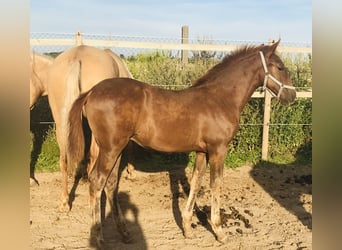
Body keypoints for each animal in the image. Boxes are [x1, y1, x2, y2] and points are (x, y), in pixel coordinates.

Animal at [45, 45, 135, 211]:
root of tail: (76, 57)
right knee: (93, 154)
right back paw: (91, 198)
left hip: (61, 120)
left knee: (64, 158)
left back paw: (65, 203)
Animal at [67, 40, 296, 244]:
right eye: (280, 67)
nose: (291, 95)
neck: (220, 98)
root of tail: (92, 92)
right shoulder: (218, 150)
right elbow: (216, 183)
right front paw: (219, 231)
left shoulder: (202, 152)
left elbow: (195, 182)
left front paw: (187, 228)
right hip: (111, 148)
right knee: (97, 181)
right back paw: (98, 237)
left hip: (115, 148)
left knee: (110, 183)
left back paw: (124, 234)